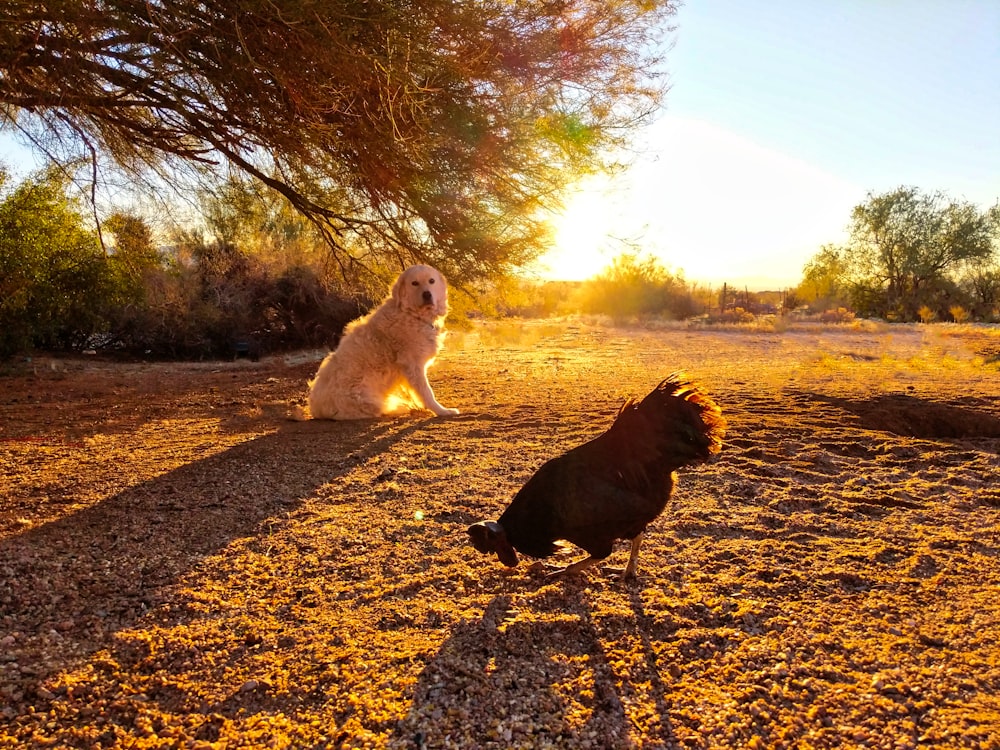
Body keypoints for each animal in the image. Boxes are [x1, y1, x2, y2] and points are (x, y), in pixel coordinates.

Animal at [304, 266, 460, 420]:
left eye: (431, 281)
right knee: (378, 409)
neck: (412, 314)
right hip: (364, 398)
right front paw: (442, 411)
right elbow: (426, 391)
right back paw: (400, 408)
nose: (427, 294)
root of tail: (316, 409)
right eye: (414, 283)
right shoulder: (413, 365)